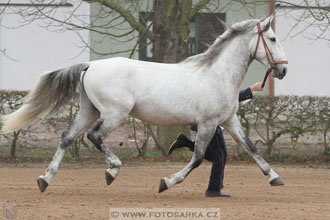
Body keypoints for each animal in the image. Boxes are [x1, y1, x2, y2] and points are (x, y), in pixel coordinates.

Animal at [1, 15, 288, 192]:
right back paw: (112, 171)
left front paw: (275, 177)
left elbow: (250, 146)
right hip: (114, 113)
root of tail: (90, 65)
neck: (217, 74)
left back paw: (45, 179)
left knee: (67, 137)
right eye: (273, 39)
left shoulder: (228, 120)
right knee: (94, 136)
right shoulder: (208, 123)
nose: (283, 70)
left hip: (88, 110)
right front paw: (166, 182)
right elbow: (197, 158)